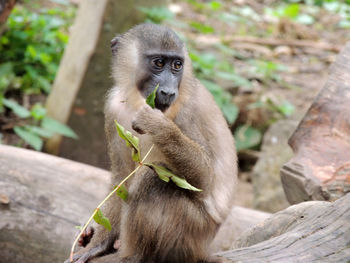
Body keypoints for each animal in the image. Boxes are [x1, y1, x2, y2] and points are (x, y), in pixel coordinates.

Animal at [65, 23, 238, 263]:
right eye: (158, 63)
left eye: (176, 65)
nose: (168, 91)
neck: (137, 100)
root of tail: (204, 249)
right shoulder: (112, 109)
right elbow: (121, 179)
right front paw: (96, 244)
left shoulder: (188, 109)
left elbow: (205, 179)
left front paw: (157, 125)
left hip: (192, 232)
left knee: (153, 177)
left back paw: (132, 255)